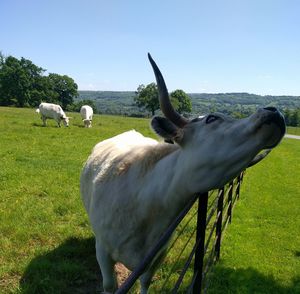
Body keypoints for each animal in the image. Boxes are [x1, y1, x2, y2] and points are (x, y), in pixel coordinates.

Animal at [80, 54, 286, 292]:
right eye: (211, 118)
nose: (274, 110)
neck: (145, 203)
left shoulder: (157, 255)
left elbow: (145, 282)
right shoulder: (103, 251)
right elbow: (109, 284)